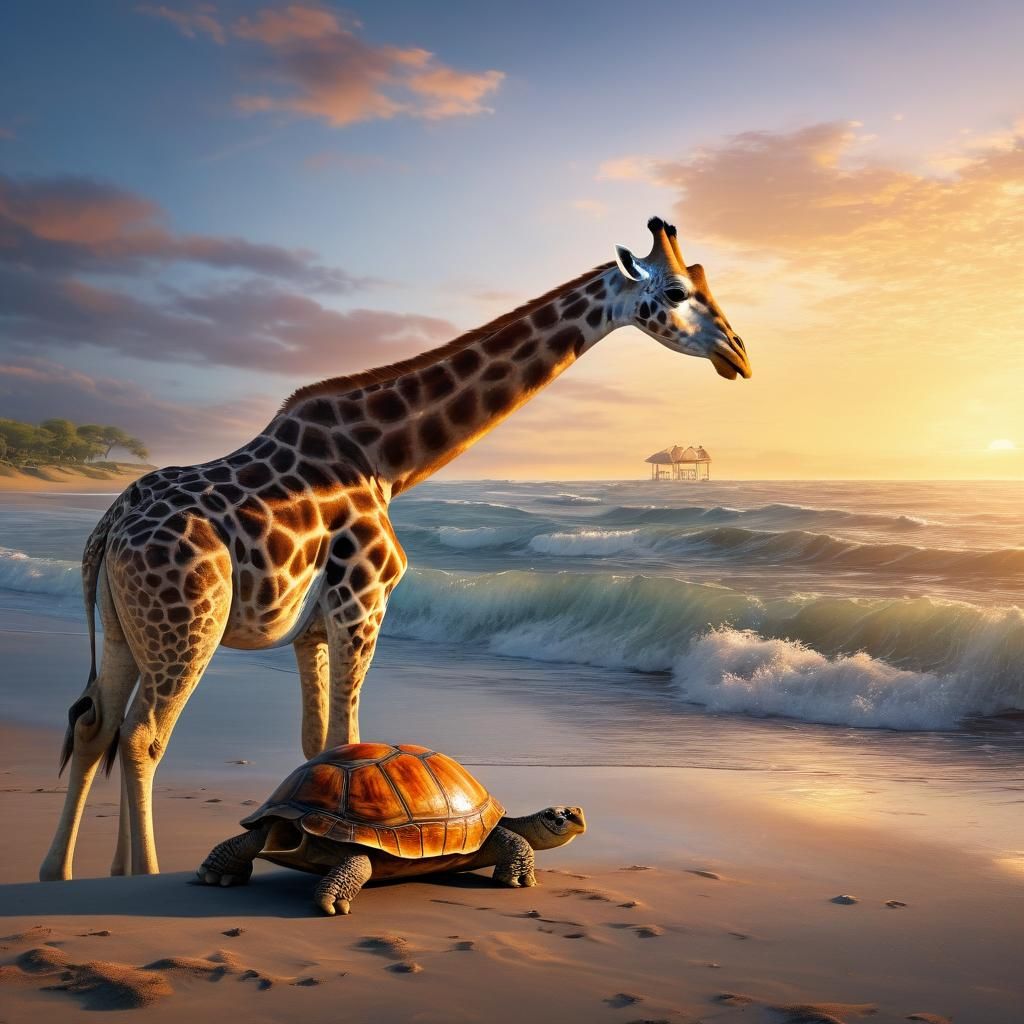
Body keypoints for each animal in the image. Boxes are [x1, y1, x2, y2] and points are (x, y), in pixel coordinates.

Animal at [40, 216, 750, 882]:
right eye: (678, 290)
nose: (739, 354)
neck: (386, 458)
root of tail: (107, 531)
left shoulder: (314, 627)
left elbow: (317, 743)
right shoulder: (364, 602)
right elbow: (347, 735)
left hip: (125, 625)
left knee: (97, 724)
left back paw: (65, 873)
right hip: (188, 624)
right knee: (143, 736)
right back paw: (142, 873)